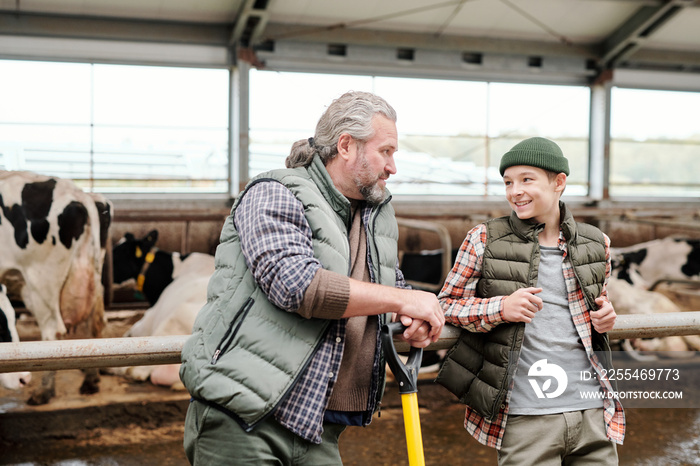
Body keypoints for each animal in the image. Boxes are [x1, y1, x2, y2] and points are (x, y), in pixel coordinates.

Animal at [0, 171, 110, 404]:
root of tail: (78, 193)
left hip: (41, 282)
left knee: (53, 332)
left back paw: (44, 391)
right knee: (94, 325)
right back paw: (91, 380)